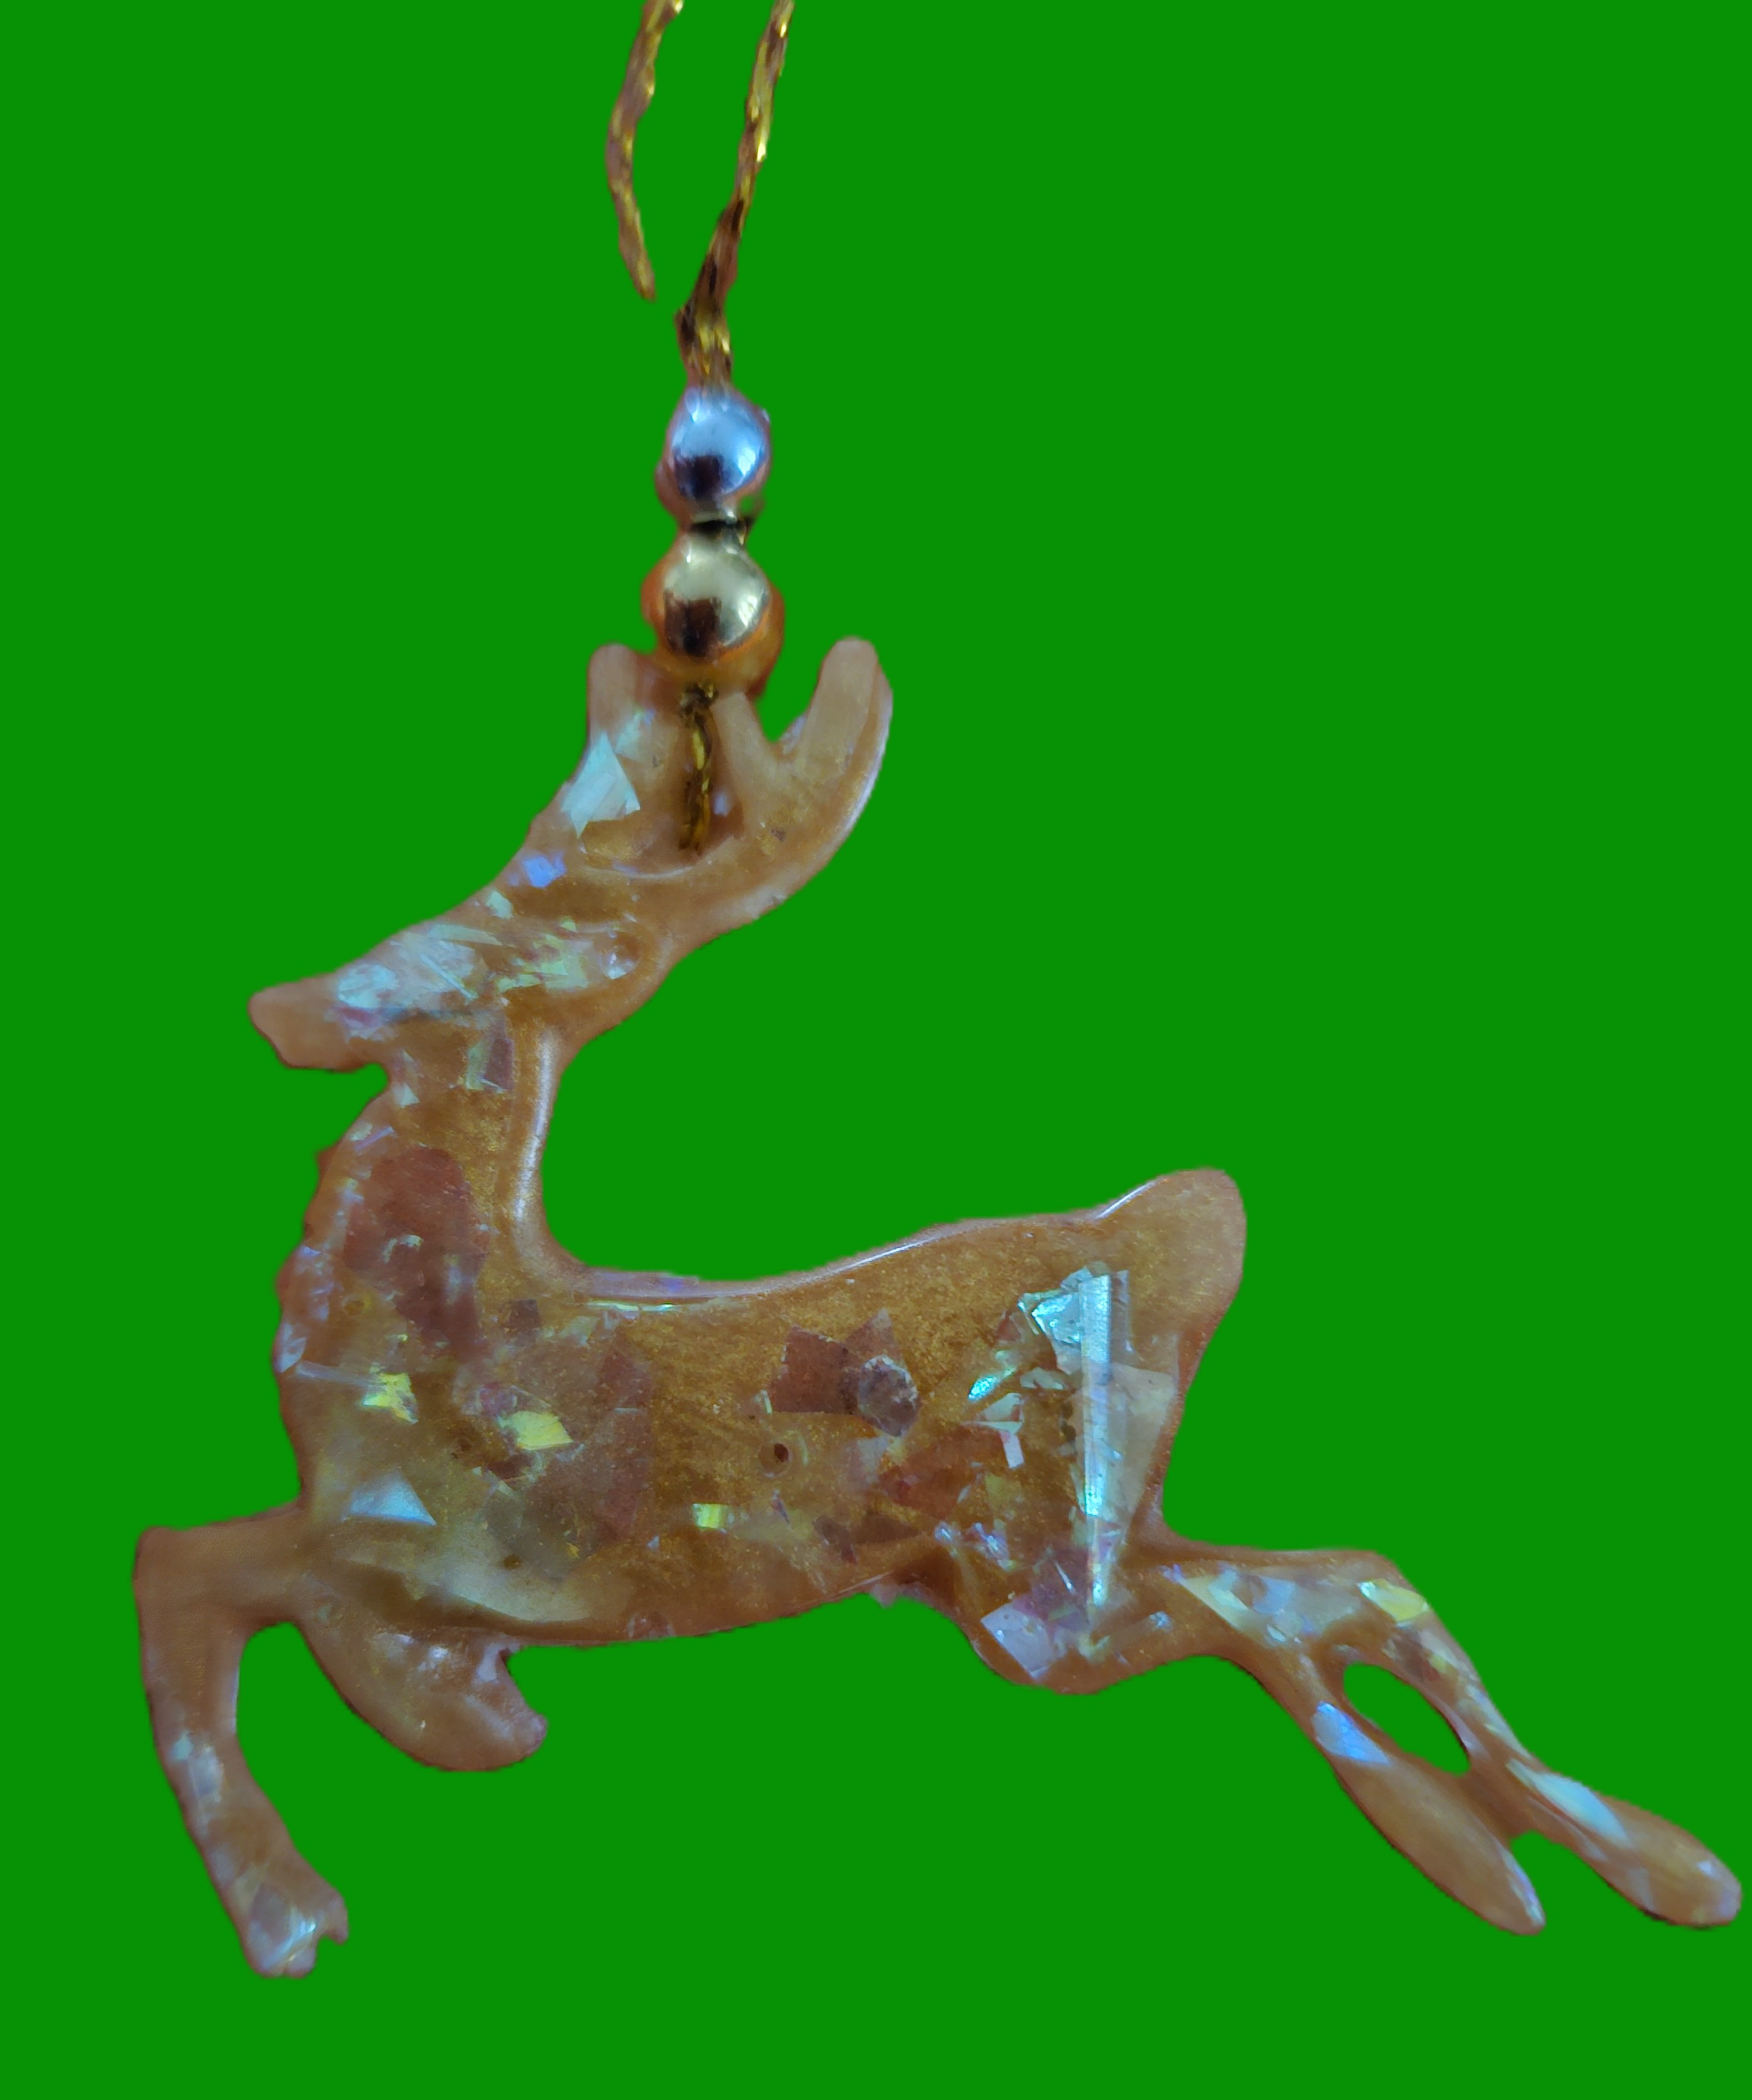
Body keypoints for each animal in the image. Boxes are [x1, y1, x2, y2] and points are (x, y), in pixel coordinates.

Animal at [136, 633, 1739, 1975]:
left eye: (533, 938)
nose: (293, 1008)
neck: (400, 1331)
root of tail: (1170, 1238)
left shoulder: (400, 1533)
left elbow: (181, 1576)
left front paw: (291, 1913)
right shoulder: (391, 1555)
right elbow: (226, 1592)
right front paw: (457, 1737)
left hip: (1042, 1592)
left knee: (1306, 1602)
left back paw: (1530, 1857)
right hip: (1082, 1554)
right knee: (1346, 1584)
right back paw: (1620, 1864)